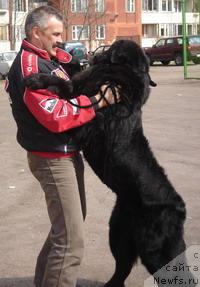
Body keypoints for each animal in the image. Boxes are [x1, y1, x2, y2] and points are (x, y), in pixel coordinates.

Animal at [25, 40, 192, 287]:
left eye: (112, 45)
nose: (87, 50)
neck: (122, 75)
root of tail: (180, 209)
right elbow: (66, 82)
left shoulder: (85, 112)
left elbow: (66, 91)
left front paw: (39, 83)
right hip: (119, 232)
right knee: (122, 268)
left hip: (155, 249)